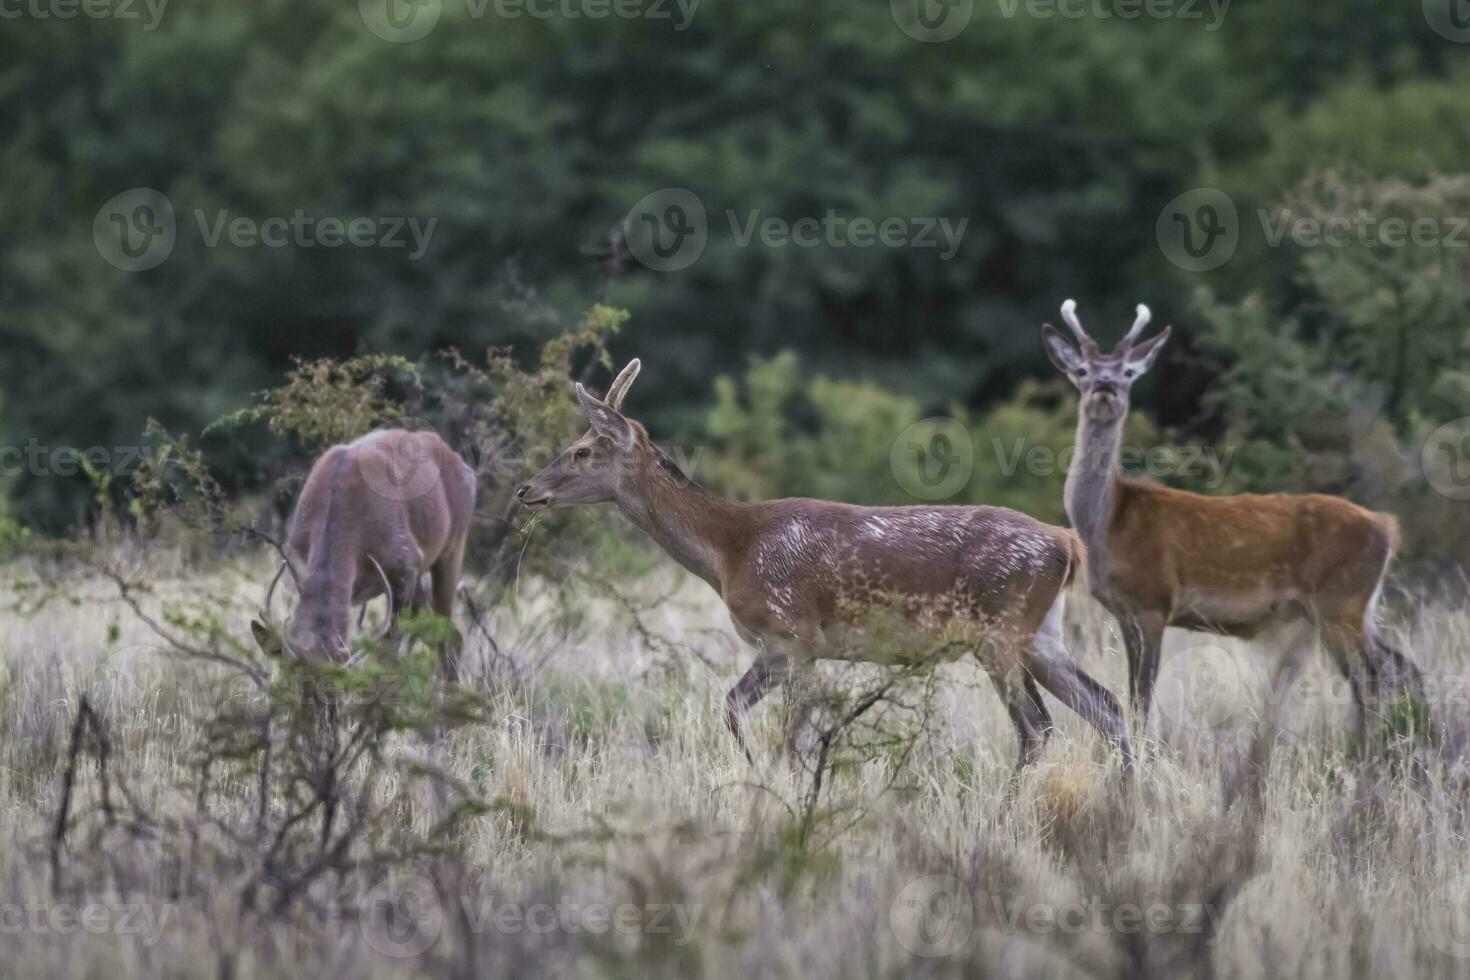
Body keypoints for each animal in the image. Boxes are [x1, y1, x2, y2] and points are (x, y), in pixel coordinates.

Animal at [252, 429, 476, 681]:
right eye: (290, 678)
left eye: (338, 683)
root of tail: (466, 468)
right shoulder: (296, 569)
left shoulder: (405, 565)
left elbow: (388, 658)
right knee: (446, 635)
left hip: (453, 547)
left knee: (448, 635)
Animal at [517, 358, 1134, 775]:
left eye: (581, 450)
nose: (525, 489)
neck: (730, 551)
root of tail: (1065, 543)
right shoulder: (801, 648)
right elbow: (756, 717)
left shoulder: (791, 634)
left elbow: (774, 729)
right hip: (1042, 634)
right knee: (1106, 706)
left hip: (1000, 630)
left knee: (1037, 727)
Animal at [1040, 296, 1417, 734]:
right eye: (1082, 370)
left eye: (1128, 371)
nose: (1105, 386)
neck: (1107, 524)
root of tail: (1387, 527)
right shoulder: (1123, 610)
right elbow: (1133, 697)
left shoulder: (1156, 600)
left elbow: (1143, 699)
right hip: (1357, 607)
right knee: (1400, 668)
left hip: (1340, 600)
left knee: (1371, 679)